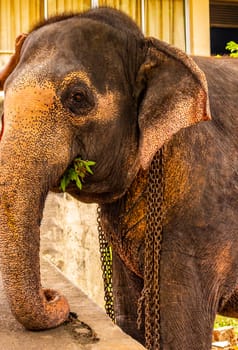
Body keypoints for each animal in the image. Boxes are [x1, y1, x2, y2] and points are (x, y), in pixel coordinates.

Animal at [0, 6, 238, 350]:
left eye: (77, 97)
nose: (52, 296)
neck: (149, 46)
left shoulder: (202, 217)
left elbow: (182, 334)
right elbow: (130, 322)